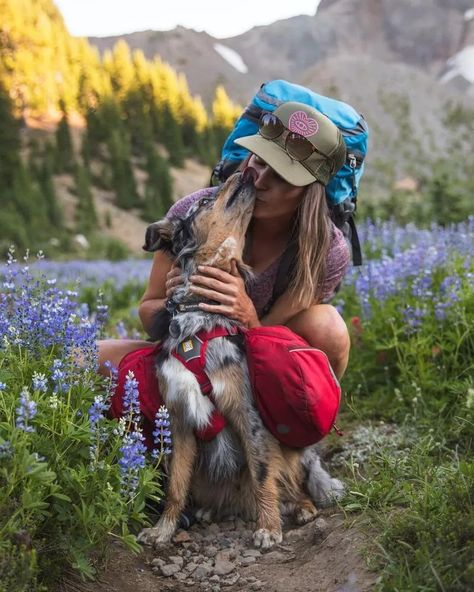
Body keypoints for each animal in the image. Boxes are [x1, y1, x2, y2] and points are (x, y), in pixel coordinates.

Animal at [137, 171, 340, 552]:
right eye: (204, 200)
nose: (245, 172)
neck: (199, 318)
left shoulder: (248, 414)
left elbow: (262, 475)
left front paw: (269, 528)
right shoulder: (180, 419)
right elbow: (175, 486)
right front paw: (163, 530)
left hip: (291, 455)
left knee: (292, 485)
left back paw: (302, 509)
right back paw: (207, 512)